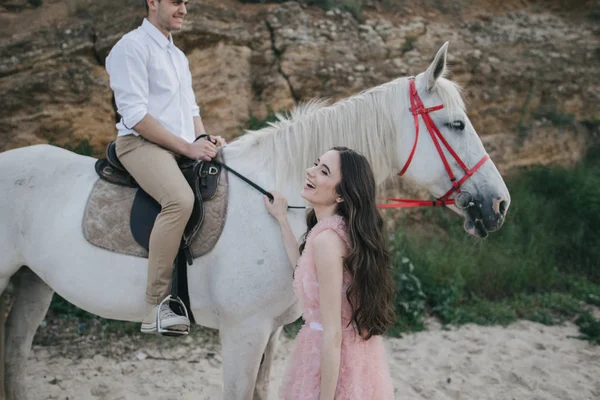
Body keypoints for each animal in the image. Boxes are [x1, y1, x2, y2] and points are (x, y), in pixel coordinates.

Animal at [0, 42, 510, 398]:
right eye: (457, 125)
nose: (499, 204)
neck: (276, 195)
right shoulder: (243, 332)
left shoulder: (271, 332)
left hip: (33, 282)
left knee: (15, 356)